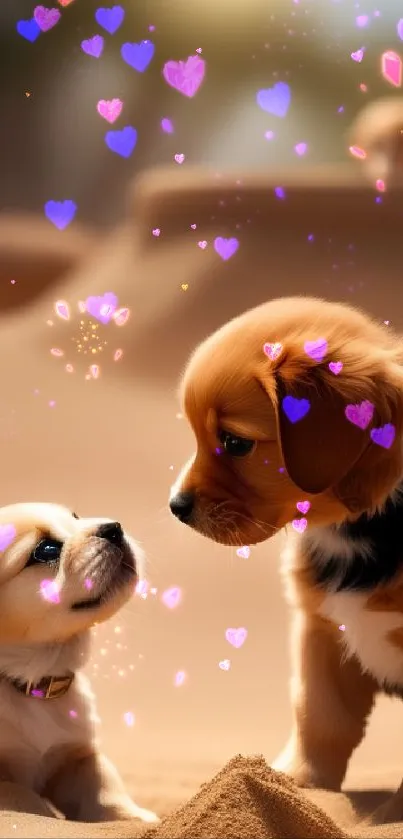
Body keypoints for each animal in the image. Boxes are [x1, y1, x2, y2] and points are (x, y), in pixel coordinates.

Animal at [0, 502, 158, 824]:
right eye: (46, 550)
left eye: (75, 517)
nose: (113, 528)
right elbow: (19, 795)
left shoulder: (77, 755)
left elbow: (105, 785)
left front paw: (135, 817)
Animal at [171, 300, 403, 796]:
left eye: (235, 442)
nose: (175, 507)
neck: (350, 529)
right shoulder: (321, 632)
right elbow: (321, 717)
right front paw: (299, 783)